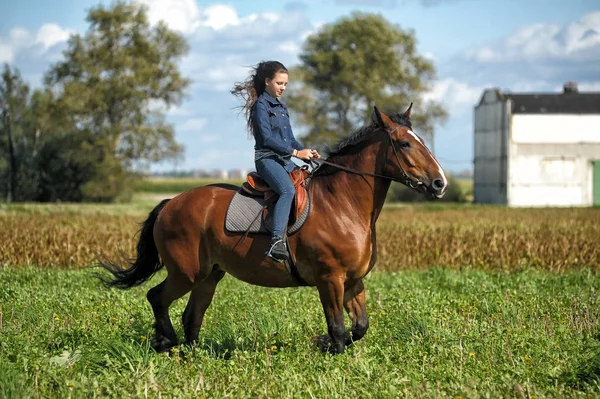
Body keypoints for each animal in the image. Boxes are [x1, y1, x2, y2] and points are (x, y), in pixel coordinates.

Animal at [101, 104, 448, 354]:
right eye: (405, 143)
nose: (440, 183)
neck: (343, 205)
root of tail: (170, 203)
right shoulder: (330, 279)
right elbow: (338, 328)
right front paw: (328, 349)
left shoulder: (353, 281)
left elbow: (360, 327)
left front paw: (320, 343)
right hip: (186, 272)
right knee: (157, 298)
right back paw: (164, 342)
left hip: (209, 275)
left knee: (192, 315)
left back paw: (191, 353)